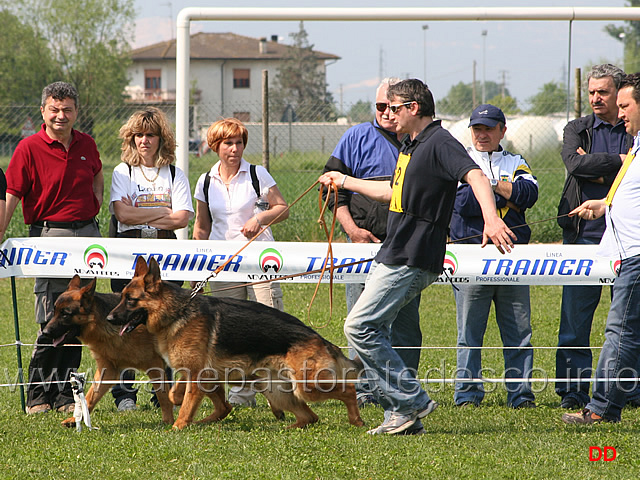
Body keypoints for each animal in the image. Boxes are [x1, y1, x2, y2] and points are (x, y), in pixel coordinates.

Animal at [42, 276, 175, 426]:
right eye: (55, 311)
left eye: (65, 314)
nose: (45, 332)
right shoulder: (107, 370)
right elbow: (91, 395)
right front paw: (77, 419)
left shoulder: (155, 366)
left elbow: (163, 397)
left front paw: (168, 421)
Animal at [107, 256, 362, 430]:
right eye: (121, 297)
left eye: (130, 300)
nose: (109, 318)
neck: (176, 311)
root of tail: (322, 340)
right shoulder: (197, 372)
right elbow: (174, 393)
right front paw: (179, 406)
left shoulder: (197, 373)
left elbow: (186, 404)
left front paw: (177, 427)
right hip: (276, 390)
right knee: (310, 417)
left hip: (306, 386)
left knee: (347, 390)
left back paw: (356, 420)